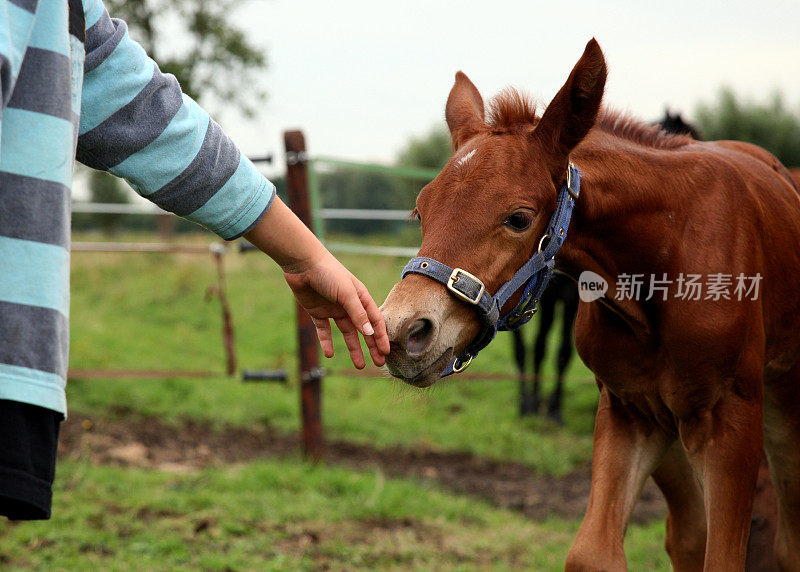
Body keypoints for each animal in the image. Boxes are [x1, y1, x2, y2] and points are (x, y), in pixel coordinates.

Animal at [512, 107, 700, 422]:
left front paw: (554, 408)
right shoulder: (549, 299)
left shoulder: (572, 299)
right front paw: (536, 404)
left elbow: (563, 353)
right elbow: (539, 347)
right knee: (523, 349)